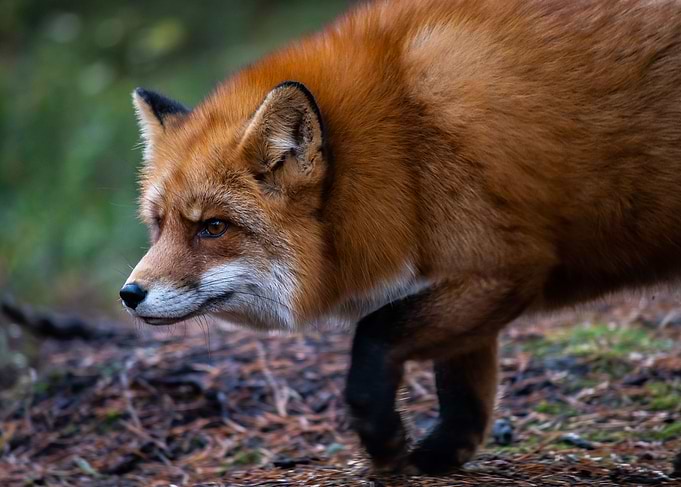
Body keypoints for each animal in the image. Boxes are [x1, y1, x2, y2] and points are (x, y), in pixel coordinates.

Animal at [121, 0, 681, 475]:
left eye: (212, 227)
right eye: (159, 224)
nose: (129, 294)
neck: (402, 151)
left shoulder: (502, 265)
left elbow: (374, 333)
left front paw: (384, 439)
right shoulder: (477, 280)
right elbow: (461, 389)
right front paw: (439, 455)